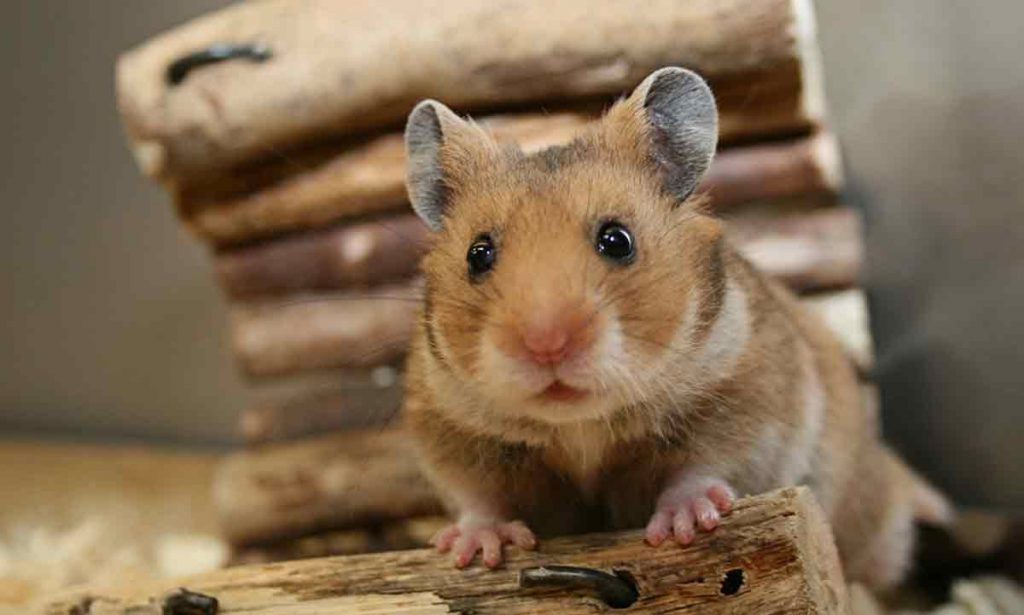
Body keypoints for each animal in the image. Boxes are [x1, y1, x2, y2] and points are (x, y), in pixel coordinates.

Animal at [400, 67, 950, 588]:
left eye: (617, 240)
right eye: (478, 254)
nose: (546, 346)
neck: (581, 425)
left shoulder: (747, 398)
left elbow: (703, 465)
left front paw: (685, 527)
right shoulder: (448, 426)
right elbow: (479, 496)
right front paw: (475, 550)